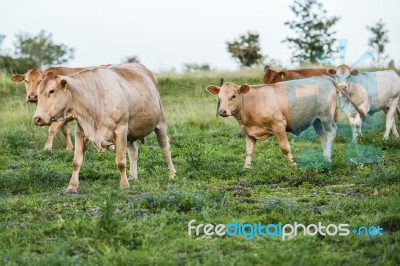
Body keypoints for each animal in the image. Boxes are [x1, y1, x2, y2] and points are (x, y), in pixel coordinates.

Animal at [31, 64, 175, 193]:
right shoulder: (80, 132)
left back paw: (172, 174)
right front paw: (72, 187)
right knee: (133, 151)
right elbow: (76, 161)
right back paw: (133, 177)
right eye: (37, 93)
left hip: (160, 122)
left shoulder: (120, 130)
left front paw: (124, 185)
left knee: (165, 148)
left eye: (51, 91)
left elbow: (121, 161)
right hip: (131, 132)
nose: (37, 118)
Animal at [206, 76, 338, 168]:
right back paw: (325, 159)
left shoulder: (278, 125)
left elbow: (285, 148)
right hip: (316, 120)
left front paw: (293, 166)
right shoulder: (249, 132)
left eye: (233, 96)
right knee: (323, 136)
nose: (222, 111)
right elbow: (249, 151)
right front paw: (246, 168)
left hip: (326, 116)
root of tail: (322, 77)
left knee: (331, 132)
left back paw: (327, 157)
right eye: (219, 97)